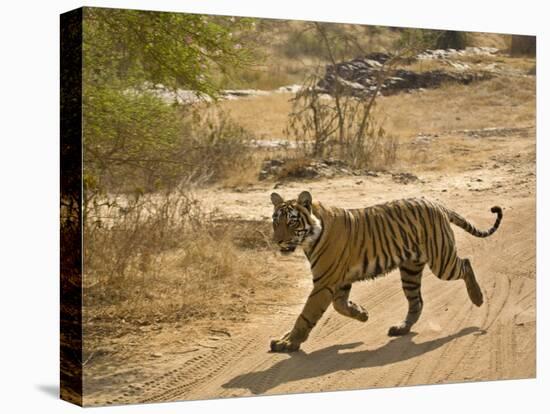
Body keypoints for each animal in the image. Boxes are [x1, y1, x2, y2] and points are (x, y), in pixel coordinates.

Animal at [270, 192, 502, 352]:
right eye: (275, 221)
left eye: (291, 221)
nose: (277, 241)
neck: (309, 239)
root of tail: (437, 204)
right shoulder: (339, 281)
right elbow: (340, 305)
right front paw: (362, 313)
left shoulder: (324, 282)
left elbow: (306, 314)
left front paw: (288, 342)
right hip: (410, 270)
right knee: (417, 302)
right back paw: (401, 328)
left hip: (442, 261)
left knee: (466, 264)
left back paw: (478, 298)